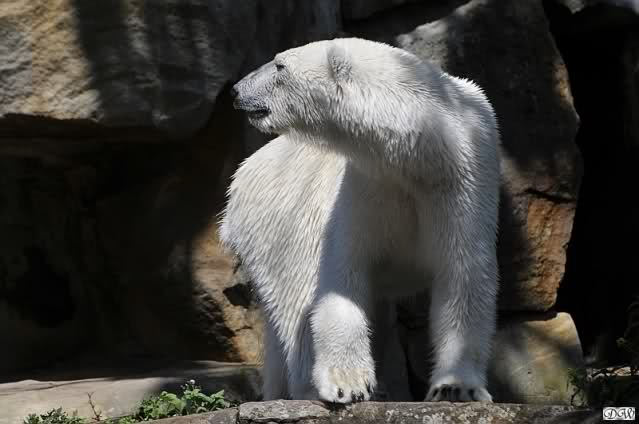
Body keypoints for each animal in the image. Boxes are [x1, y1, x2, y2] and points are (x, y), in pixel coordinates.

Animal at [219, 37, 501, 404]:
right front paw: (347, 384)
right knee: (296, 295)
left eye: (280, 66)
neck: (420, 153)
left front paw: (455, 387)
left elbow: (463, 275)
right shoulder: (365, 186)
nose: (236, 91)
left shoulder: (464, 180)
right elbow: (342, 275)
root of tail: (241, 174)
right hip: (276, 221)